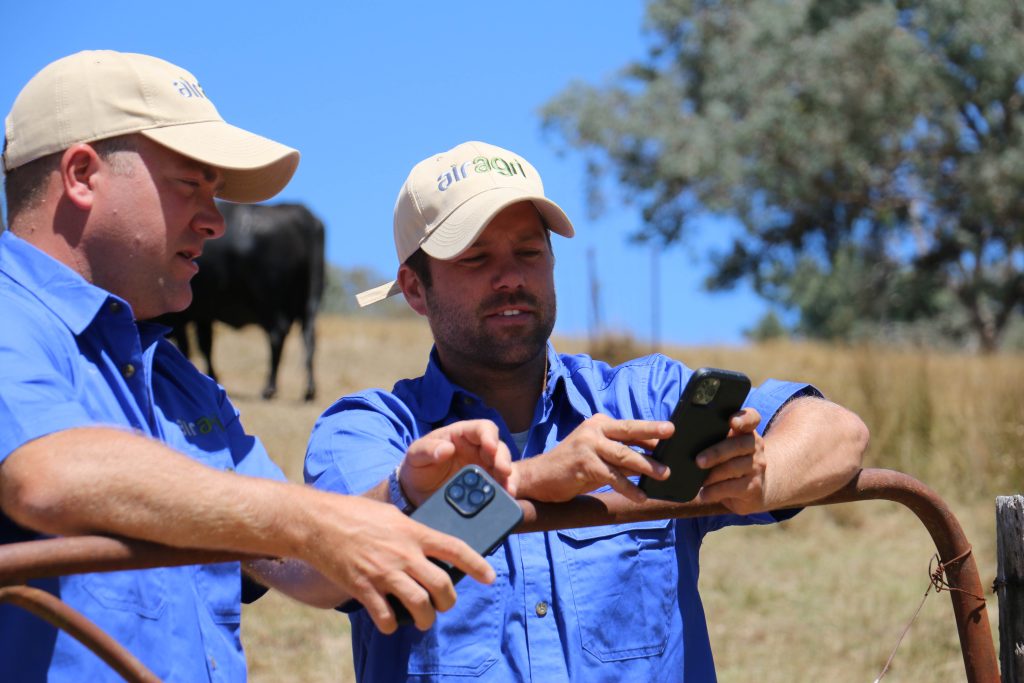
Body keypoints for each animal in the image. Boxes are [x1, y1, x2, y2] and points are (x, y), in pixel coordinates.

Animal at [162, 200, 323, 401]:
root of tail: (300, 213)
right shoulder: (203, 315)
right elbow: (205, 345)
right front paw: (211, 376)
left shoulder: (183, 317)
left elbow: (188, 347)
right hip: (307, 303)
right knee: (309, 338)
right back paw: (309, 390)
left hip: (268, 301)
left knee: (277, 335)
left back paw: (269, 388)